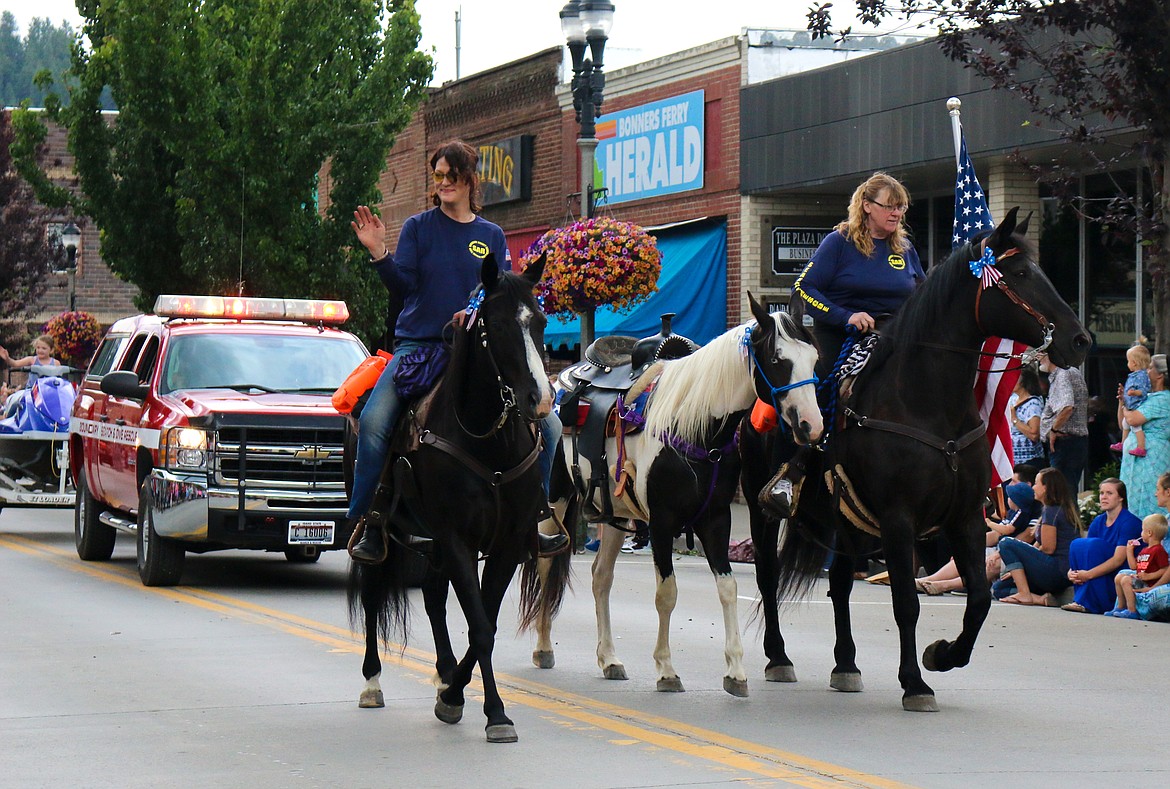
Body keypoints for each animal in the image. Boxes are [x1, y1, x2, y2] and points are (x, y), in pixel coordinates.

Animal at [343, 255, 568, 739]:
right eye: (497, 325)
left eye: (541, 322)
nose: (541, 400)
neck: (487, 440)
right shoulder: (456, 537)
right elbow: (480, 627)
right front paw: (490, 712)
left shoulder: (506, 543)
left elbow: (486, 621)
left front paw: (457, 694)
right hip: (383, 528)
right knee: (372, 592)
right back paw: (372, 682)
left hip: (431, 541)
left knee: (431, 595)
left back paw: (444, 671)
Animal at [744, 207, 1090, 707]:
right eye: (1021, 274)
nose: (1080, 341)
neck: (929, 404)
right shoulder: (898, 518)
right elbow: (906, 602)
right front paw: (915, 682)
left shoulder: (964, 517)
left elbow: (980, 598)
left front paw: (942, 655)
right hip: (762, 506)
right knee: (769, 575)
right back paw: (779, 658)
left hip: (846, 521)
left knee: (840, 583)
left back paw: (846, 665)